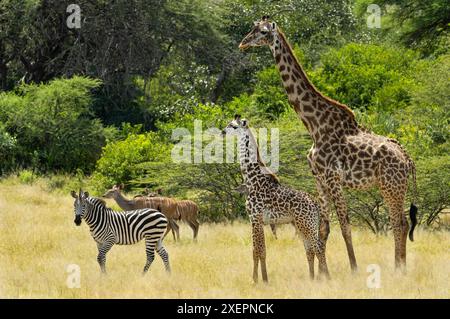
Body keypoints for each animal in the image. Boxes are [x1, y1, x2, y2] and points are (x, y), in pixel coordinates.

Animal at [239, 16, 418, 272]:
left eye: (263, 32)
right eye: (252, 28)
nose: (243, 43)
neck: (313, 124)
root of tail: (408, 159)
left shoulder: (333, 177)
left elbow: (344, 226)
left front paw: (353, 269)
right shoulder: (319, 179)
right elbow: (324, 228)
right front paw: (323, 273)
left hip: (390, 185)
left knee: (399, 223)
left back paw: (398, 268)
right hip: (393, 186)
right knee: (401, 222)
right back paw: (399, 266)